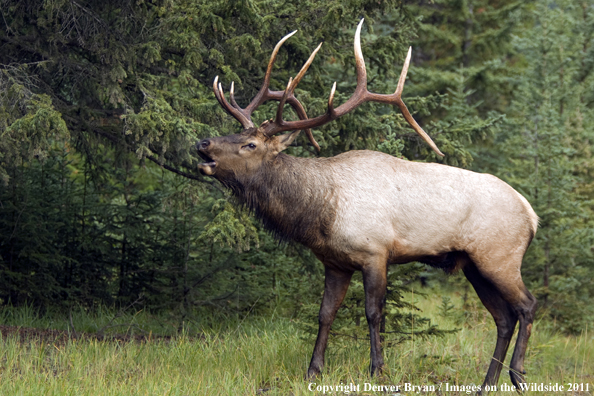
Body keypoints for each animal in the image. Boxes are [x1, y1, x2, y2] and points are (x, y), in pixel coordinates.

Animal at [195, 20, 536, 392]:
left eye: (250, 144)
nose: (203, 143)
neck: (320, 213)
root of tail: (531, 214)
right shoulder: (335, 262)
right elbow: (325, 313)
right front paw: (313, 371)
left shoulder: (376, 253)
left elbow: (374, 313)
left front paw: (378, 371)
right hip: (473, 264)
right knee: (503, 318)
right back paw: (486, 383)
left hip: (500, 256)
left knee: (526, 307)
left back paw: (518, 375)